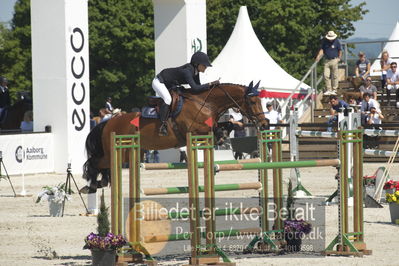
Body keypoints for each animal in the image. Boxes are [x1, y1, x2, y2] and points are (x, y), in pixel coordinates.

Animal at [81, 82, 268, 192]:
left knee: (103, 166)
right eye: (253, 102)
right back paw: (91, 185)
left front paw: (224, 136)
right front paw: (222, 138)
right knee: (95, 163)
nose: (265, 124)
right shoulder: (195, 130)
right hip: (121, 152)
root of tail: (108, 123)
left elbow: (225, 125)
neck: (205, 103)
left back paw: (100, 183)